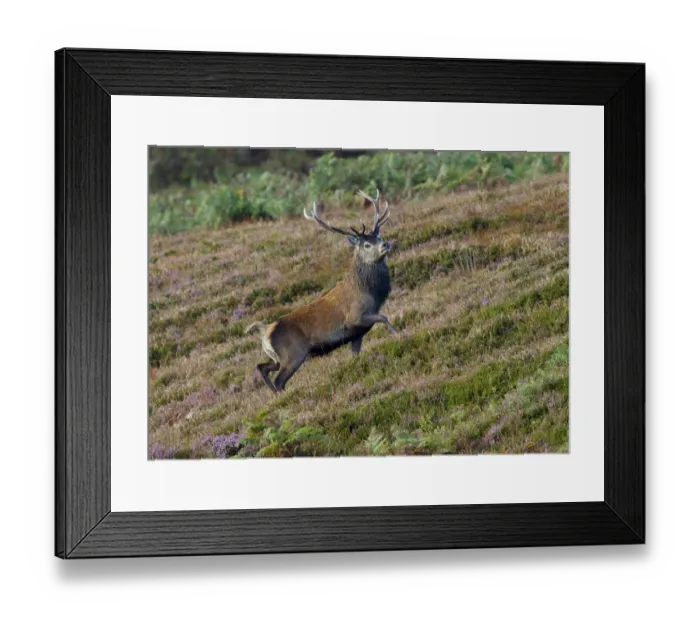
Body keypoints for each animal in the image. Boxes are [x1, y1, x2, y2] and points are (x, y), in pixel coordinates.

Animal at [245, 189, 398, 393]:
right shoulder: (355, 318)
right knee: (279, 380)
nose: (385, 244)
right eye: (366, 244)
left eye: (378, 237)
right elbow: (384, 317)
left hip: (278, 358)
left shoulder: (357, 335)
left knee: (262, 367)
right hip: (293, 355)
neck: (370, 294)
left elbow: (356, 355)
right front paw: (398, 335)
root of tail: (265, 331)